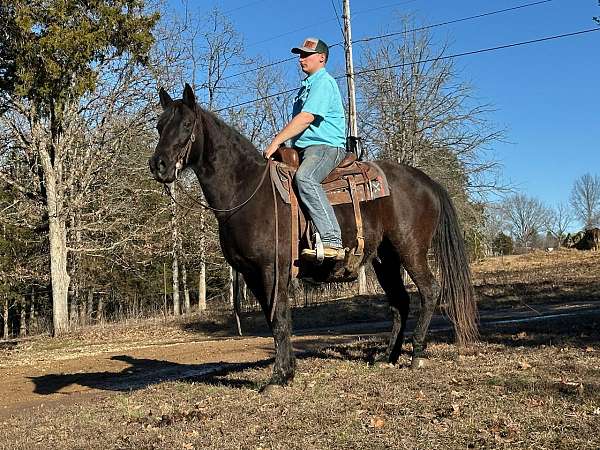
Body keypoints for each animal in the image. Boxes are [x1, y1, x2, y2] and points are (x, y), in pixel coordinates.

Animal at [150, 84, 478, 390]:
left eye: (187, 124)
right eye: (159, 125)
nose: (159, 165)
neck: (247, 190)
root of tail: (427, 181)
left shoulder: (273, 269)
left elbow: (280, 319)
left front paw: (278, 377)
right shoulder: (252, 274)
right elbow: (273, 318)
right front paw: (287, 372)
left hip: (410, 249)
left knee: (430, 291)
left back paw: (416, 354)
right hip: (385, 259)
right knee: (400, 301)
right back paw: (388, 356)